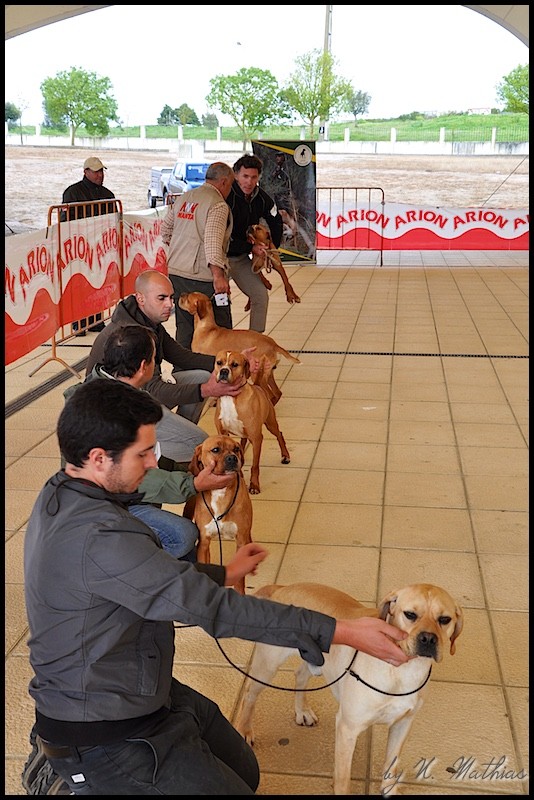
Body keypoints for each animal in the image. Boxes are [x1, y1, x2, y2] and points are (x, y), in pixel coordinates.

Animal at [184, 434, 252, 594]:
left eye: (236, 449)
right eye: (216, 450)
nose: (233, 458)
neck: (221, 491)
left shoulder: (241, 539)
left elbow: (239, 580)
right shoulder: (203, 543)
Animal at [213, 350, 290, 495]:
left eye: (235, 364)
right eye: (219, 362)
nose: (224, 371)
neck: (230, 397)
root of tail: (259, 386)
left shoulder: (256, 437)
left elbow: (255, 466)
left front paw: (254, 485)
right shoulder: (223, 433)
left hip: (270, 424)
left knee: (279, 434)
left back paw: (285, 455)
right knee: (243, 441)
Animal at [233, 582, 463, 795]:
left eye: (444, 619)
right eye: (410, 615)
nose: (428, 639)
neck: (403, 671)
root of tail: (283, 587)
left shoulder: (402, 724)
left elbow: (391, 765)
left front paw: (389, 790)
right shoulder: (347, 728)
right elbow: (343, 778)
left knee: (300, 675)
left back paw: (302, 711)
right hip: (268, 665)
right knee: (250, 693)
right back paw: (244, 730)